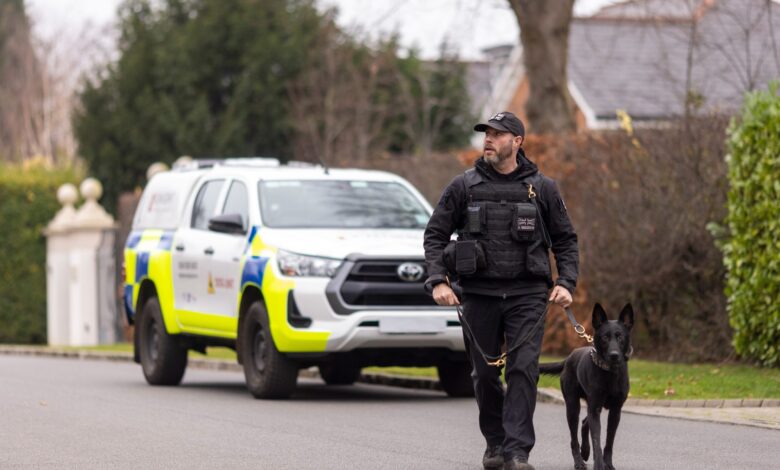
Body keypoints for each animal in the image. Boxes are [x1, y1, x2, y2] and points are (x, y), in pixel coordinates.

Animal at [544, 302, 632, 470]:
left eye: (620, 336)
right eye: (605, 337)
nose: (614, 355)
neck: (610, 372)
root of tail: (568, 358)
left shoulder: (615, 411)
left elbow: (608, 442)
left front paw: (608, 464)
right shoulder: (595, 408)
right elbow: (597, 441)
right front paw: (599, 465)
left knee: (585, 423)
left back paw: (585, 452)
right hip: (573, 406)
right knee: (574, 437)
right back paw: (579, 461)